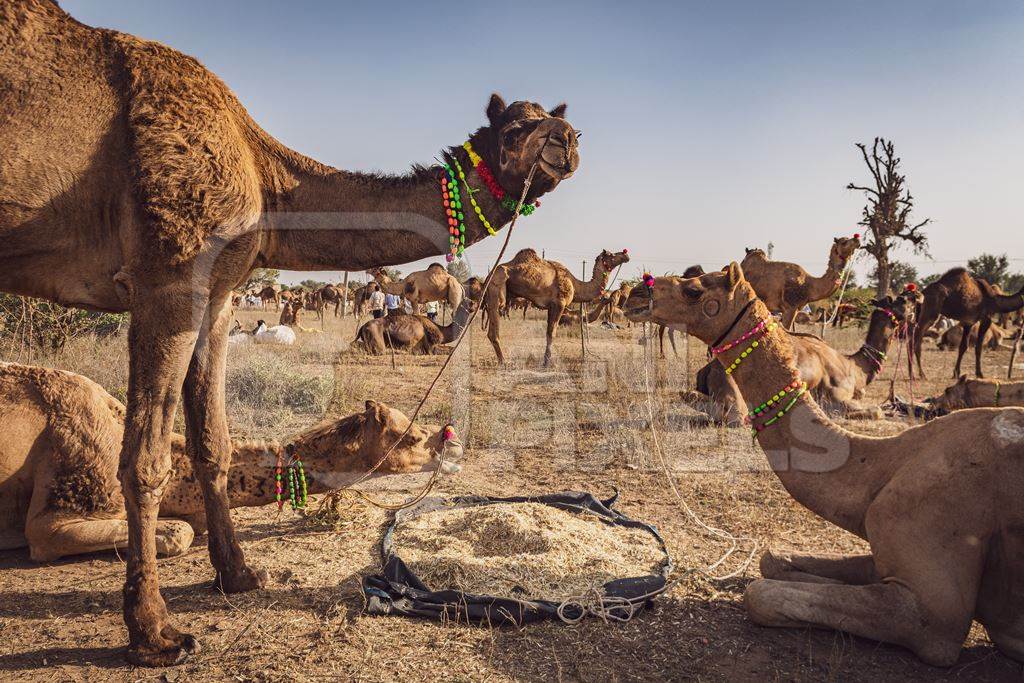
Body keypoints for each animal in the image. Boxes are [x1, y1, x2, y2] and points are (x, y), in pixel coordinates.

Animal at [481, 248, 630, 366]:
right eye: (611, 254)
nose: (626, 254)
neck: (575, 285)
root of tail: (487, 276)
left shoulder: (551, 306)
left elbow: (548, 332)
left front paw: (546, 359)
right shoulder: (559, 304)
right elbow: (552, 333)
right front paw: (547, 362)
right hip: (497, 284)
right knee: (494, 325)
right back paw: (503, 361)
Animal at [618, 264, 1024, 667]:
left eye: (694, 290)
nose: (635, 293)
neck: (886, 465)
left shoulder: (934, 618)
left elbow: (761, 592)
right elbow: (772, 560)